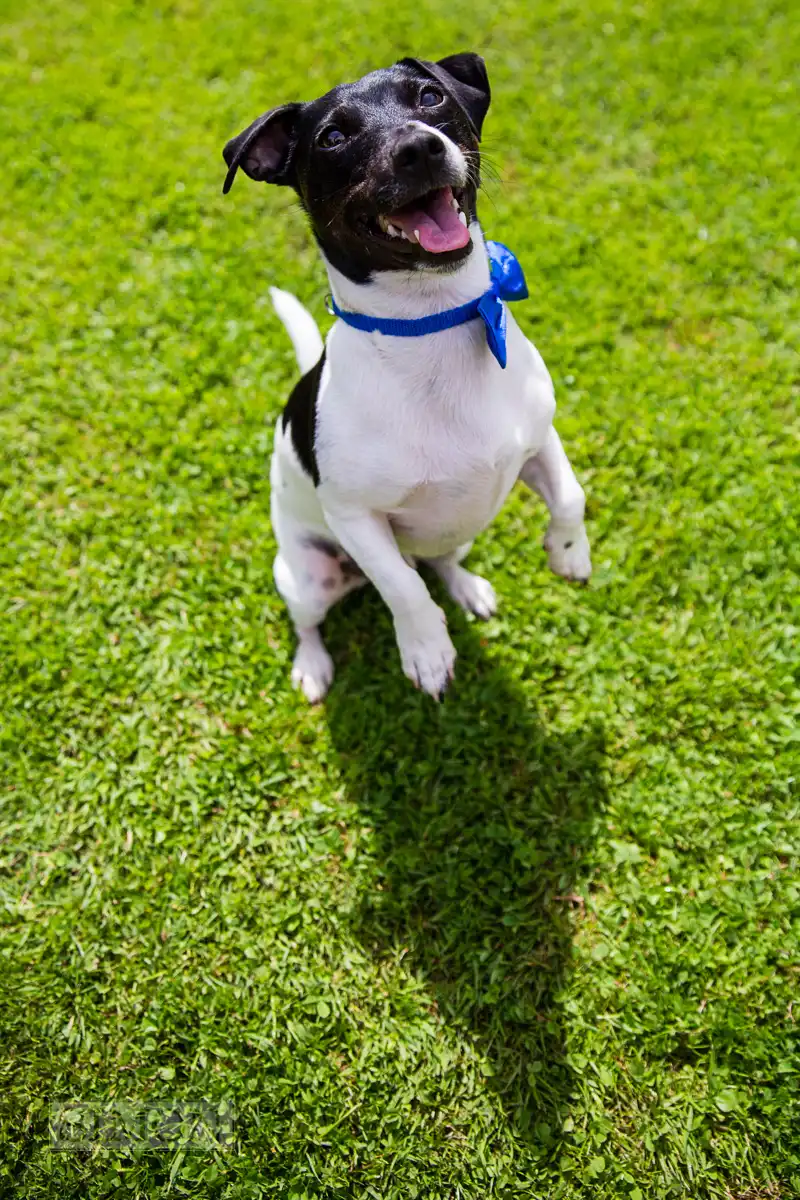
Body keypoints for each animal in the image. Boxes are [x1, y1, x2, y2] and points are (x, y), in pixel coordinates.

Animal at [221, 51, 592, 700]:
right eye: (333, 137)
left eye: (428, 97)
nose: (418, 148)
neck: (433, 324)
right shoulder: (356, 518)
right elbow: (403, 589)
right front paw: (427, 651)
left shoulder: (539, 440)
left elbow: (572, 495)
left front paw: (569, 554)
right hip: (307, 576)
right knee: (317, 617)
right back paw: (313, 666)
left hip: (456, 532)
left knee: (440, 561)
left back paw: (467, 588)